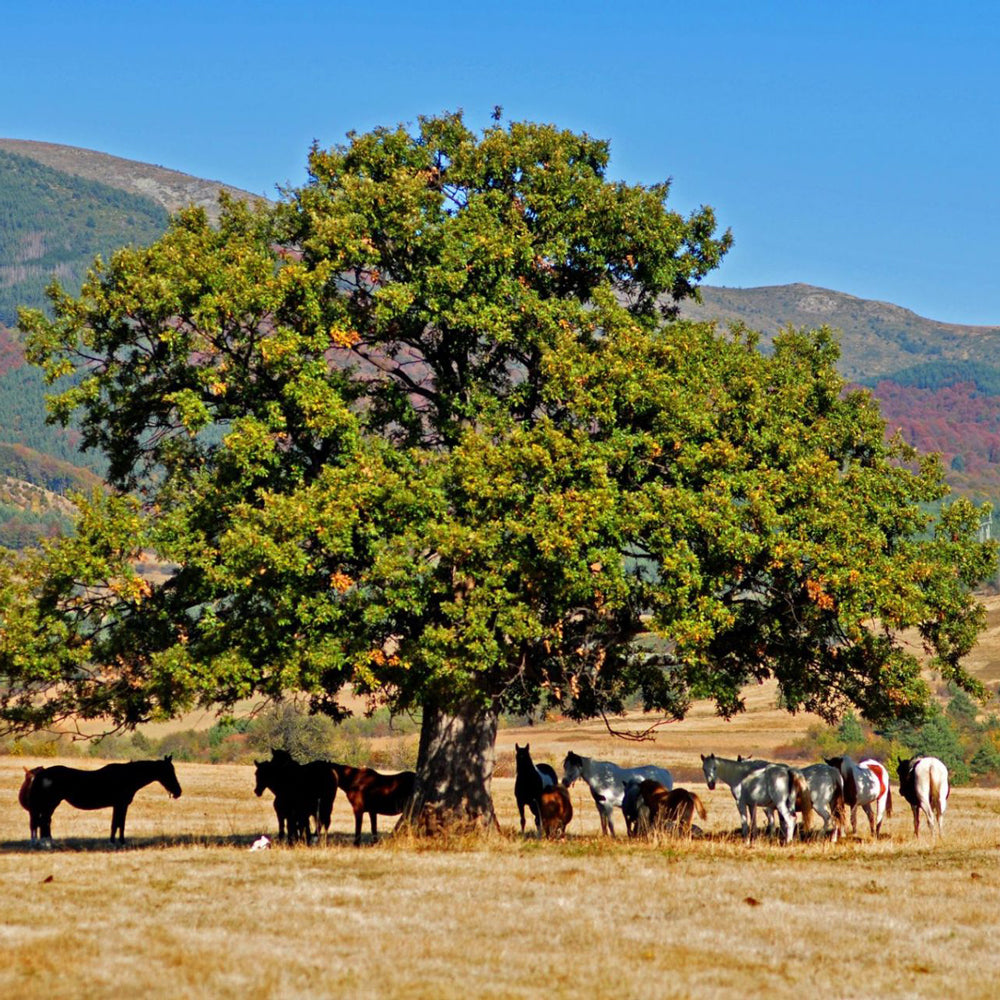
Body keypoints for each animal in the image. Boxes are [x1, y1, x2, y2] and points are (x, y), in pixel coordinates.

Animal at [25, 756, 182, 844]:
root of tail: (43, 773)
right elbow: (120, 824)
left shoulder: (117, 805)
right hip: (50, 803)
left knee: (44, 821)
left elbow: (115, 824)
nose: (178, 792)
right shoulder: (121, 805)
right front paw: (120, 842)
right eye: (168, 772)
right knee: (44, 821)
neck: (127, 776)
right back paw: (46, 842)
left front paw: (113, 841)